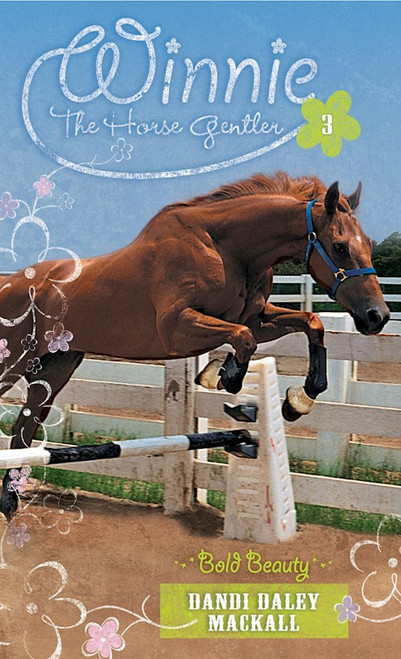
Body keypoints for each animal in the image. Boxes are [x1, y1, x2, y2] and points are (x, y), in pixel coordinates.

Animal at [0, 171, 390, 520]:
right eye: (339, 247)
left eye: (368, 244)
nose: (378, 317)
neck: (226, 248)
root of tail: (11, 284)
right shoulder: (177, 328)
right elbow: (242, 340)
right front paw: (223, 375)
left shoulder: (256, 318)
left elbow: (311, 324)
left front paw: (298, 401)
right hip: (13, 364)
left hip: (55, 369)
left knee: (22, 435)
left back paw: (9, 503)